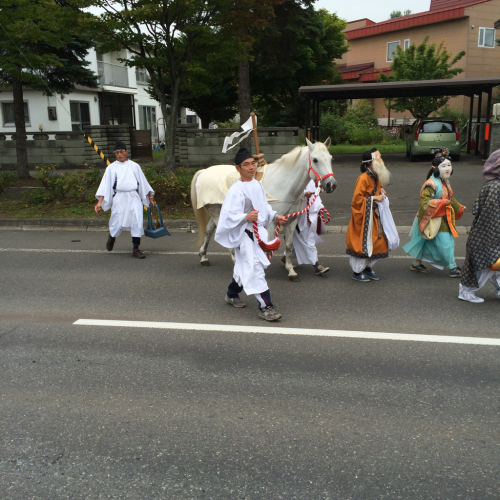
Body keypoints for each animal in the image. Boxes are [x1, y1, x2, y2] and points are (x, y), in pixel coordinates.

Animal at [190, 139, 336, 282]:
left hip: (219, 211)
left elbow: (288, 246)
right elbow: (268, 246)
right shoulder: (272, 222)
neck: (283, 185)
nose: (331, 184)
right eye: (315, 160)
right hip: (216, 211)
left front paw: (291, 271)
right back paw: (235, 261)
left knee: (208, 230)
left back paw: (203, 257)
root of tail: (204, 171)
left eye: (330, 158)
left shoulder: (291, 220)